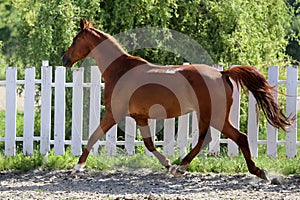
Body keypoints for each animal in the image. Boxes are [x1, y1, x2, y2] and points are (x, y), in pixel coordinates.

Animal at [61, 18, 292, 180]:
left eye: (75, 40)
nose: (64, 60)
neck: (120, 70)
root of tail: (222, 73)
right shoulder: (140, 117)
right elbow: (149, 145)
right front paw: (168, 165)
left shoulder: (113, 113)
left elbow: (93, 136)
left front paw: (77, 167)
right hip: (214, 116)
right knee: (224, 138)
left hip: (212, 115)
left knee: (223, 138)